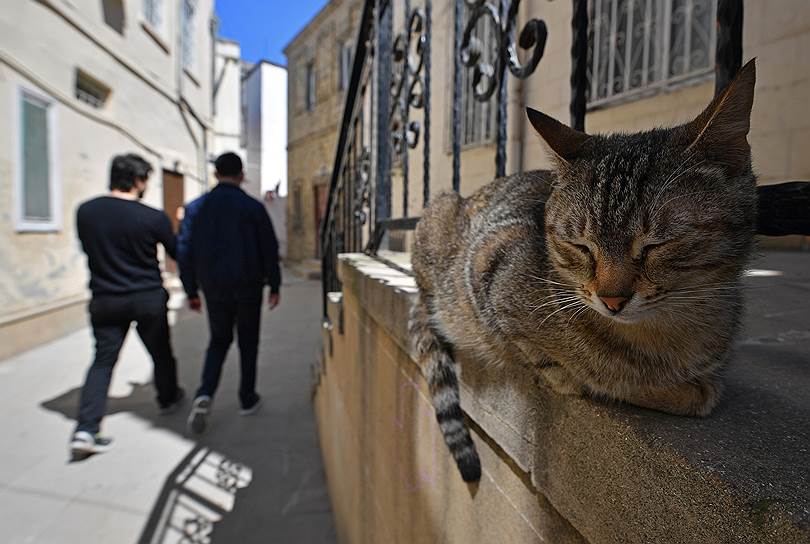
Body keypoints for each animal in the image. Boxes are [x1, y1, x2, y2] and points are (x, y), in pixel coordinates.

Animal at [410, 61, 756, 482]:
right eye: (580, 246)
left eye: (656, 245)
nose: (612, 299)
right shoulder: (489, 271)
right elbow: (565, 362)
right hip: (438, 218)